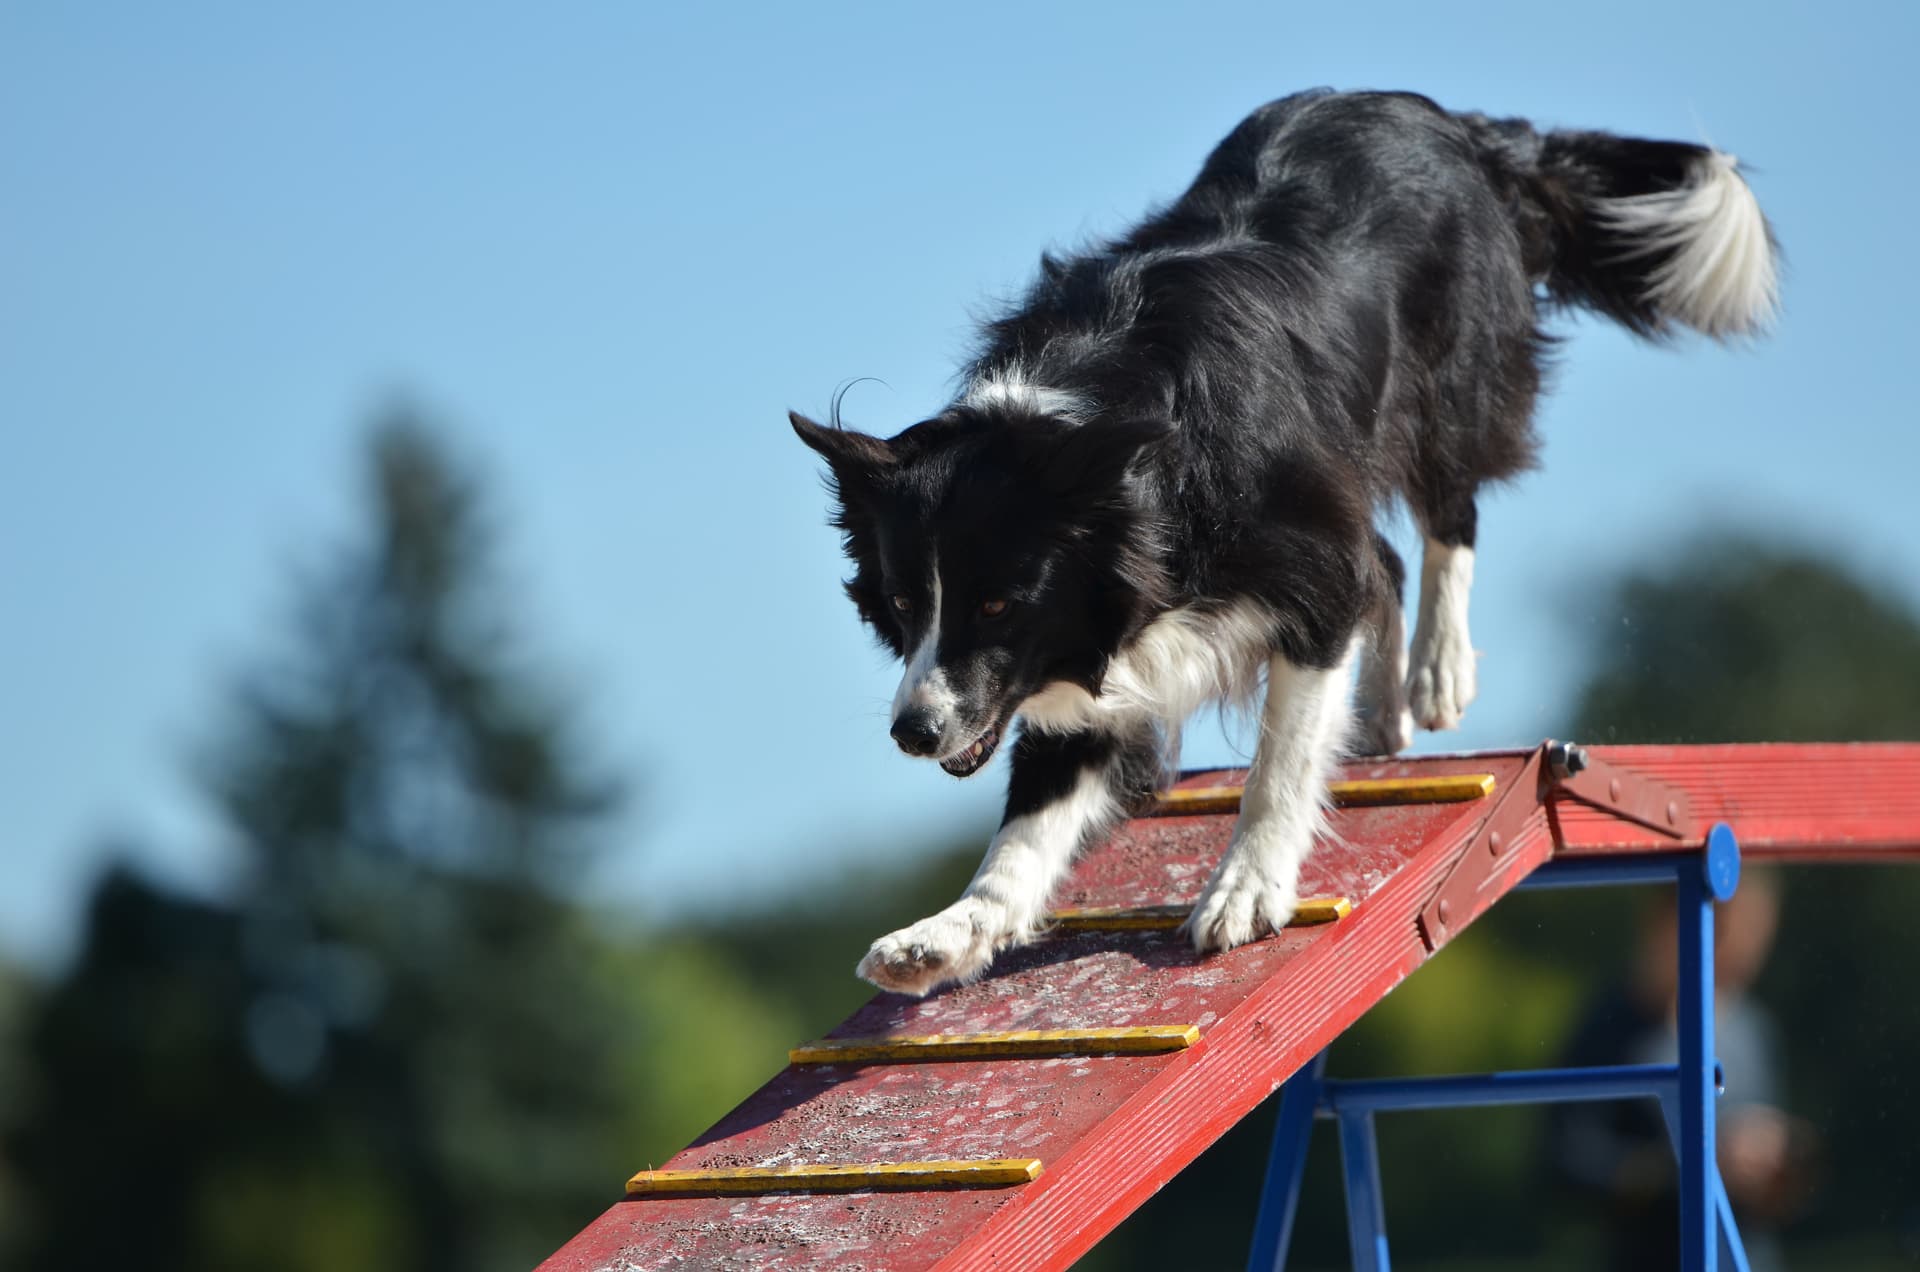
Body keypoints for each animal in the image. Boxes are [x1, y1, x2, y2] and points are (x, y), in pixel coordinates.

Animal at [787, 92, 1774, 1006]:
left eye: (996, 602)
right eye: (903, 604)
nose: (914, 732)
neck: (1110, 450)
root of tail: (1444, 116)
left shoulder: (1299, 559)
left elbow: (1282, 755)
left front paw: (1245, 888)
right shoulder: (1094, 653)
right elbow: (1028, 822)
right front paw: (950, 934)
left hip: (1443, 381)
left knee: (1449, 514)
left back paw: (1435, 670)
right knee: (1390, 559)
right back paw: (1383, 708)